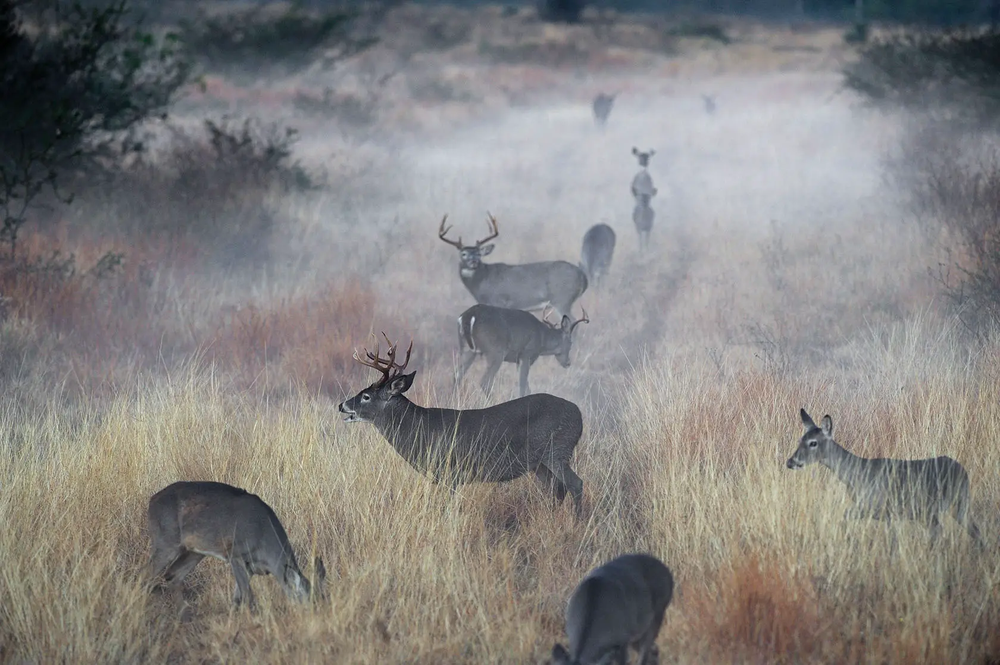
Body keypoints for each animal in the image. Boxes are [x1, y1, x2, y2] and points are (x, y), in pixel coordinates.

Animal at [146, 481, 326, 609]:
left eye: (322, 599)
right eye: (306, 602)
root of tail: (151, 500)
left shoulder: (251, 568)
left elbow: (236, 600)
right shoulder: (235, 554)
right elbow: (248, 597)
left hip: (194, 552)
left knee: (173, 574)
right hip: (166, 542)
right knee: (146, 574)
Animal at [338, 333, 585, 516]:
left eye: (366, 396)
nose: (342, 405)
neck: (420, 430)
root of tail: (579, 415)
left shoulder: (451, 471)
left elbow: (448, 508)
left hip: (557, 450)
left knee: (576, 484)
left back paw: (577, 523)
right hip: (539, 463)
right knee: (558, 489)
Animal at [438, 213, 588, 318]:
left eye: (478, 254)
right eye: (463, 254)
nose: (473, 261)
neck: (482, 281)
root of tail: (582, 275)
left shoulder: (498, 301)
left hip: (562, 299)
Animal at [455, 304, 589, 398]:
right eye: (571, 343)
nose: (568, 363)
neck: (542, 338)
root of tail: (469, 316)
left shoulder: (518, 360)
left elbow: (527, 387)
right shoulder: (526, 354)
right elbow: (522, 385)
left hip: (467, 349)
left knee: (457, 376)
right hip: (495, 351)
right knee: (485, 381)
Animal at [786, 409, 985, 548]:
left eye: (813, 443)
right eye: (800, 440)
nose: (791, 461)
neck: (857, 474)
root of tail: (962, 470)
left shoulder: (886, 510)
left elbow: (891, 543)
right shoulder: (869, 509)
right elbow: (845, 517)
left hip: (941, 507)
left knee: (942, 531)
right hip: (952, 508)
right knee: (973, 531)